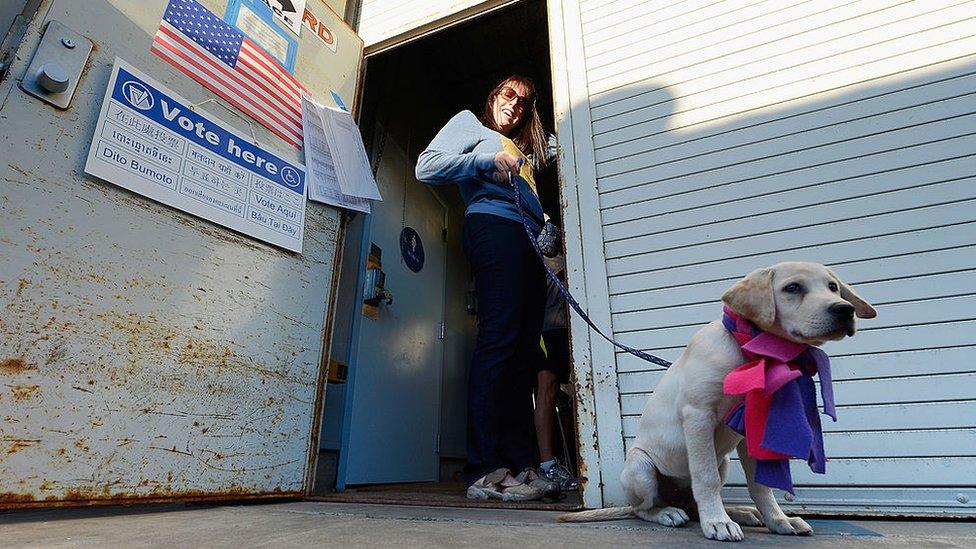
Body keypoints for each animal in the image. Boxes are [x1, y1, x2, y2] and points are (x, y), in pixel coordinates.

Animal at [560, 262, 872, 540]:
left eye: (833, 287)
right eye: (792, 288)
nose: (845, 310)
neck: (751, 352)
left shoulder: (754, 426)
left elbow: (761, 485)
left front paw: (779, 520)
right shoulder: (698, 416)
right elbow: (704, 477)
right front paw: (717, 523)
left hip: (722, 463)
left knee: (694, 503)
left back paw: (738, 513)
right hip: (641, 468)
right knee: (643, 509)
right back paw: (669, 513)